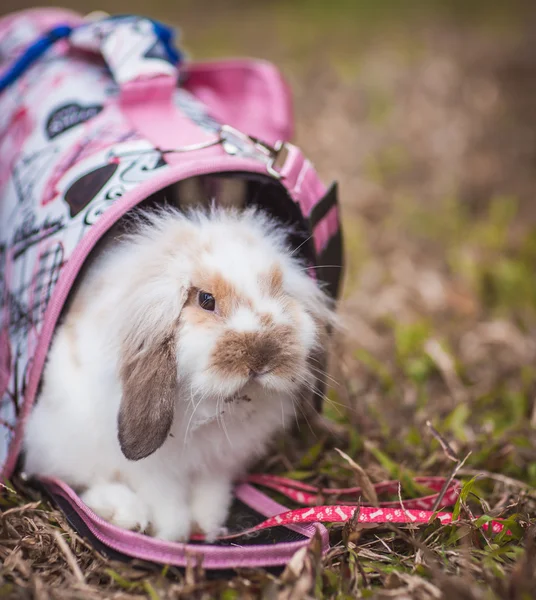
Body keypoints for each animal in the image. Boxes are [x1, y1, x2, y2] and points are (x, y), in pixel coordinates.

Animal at [25, 204, 336, 540]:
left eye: (279, 291)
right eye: (206, 300)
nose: (262, 357)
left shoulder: (218, 464)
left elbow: (211, 495)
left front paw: (206, 527)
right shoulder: (154, 471)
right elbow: (167, 504)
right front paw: (173, 535)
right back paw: (125, 513)